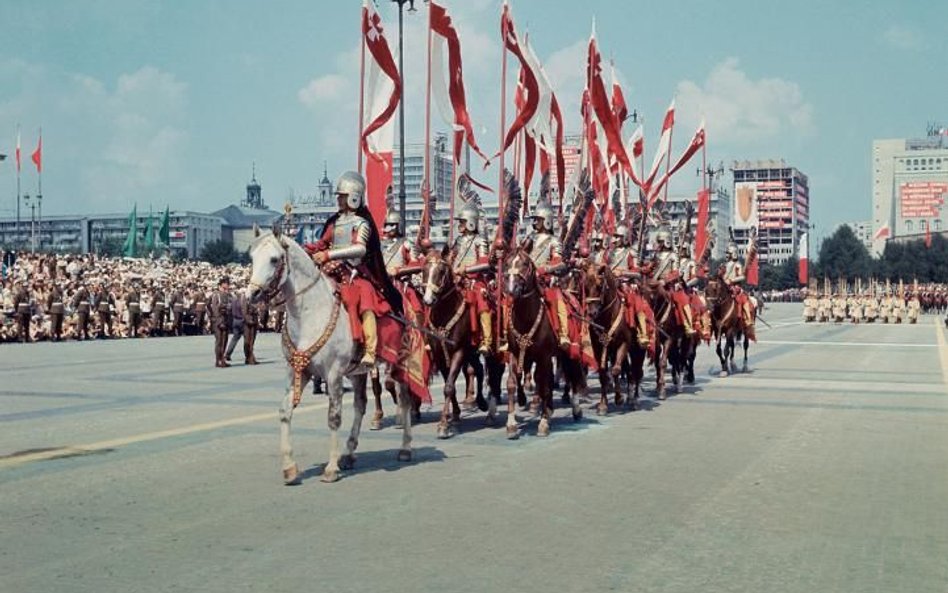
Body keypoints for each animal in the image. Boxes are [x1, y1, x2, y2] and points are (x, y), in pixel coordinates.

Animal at [248, 224, 414, 484]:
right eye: (252, 257)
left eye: (274, 259)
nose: (251, 294)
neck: (310, 313)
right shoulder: (297, 371)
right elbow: (285, 412)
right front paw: (290, 467)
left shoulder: (334, 373)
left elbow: (333, 417)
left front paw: (331, 469)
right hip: (357, 372)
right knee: (360, 405)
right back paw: (349, 453)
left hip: (400, 364)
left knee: (405, 400)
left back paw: (405, 448)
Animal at [504, 247, 584, 438]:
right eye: (507, 262)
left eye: (525, 264)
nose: (511, 290)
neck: (526, 317)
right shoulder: (514, 353)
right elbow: (512, 384)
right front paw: (511, 425)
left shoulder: (544, 356)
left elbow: (545, 387)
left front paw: (543, 423)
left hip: (568, 351)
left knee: (573, 376)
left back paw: (575, 409)